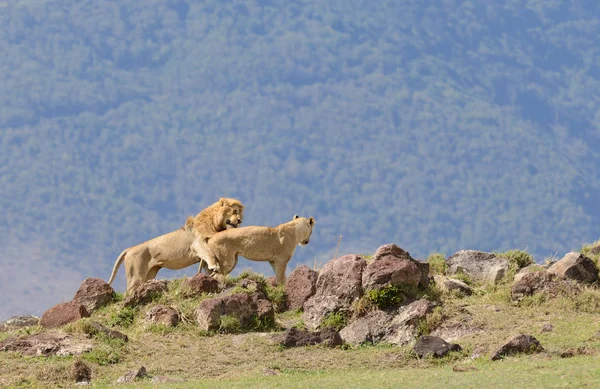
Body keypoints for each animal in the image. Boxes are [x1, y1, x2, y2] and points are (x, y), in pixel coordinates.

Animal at [109, 197, 245, 294]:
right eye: (234, 211)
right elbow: (209, 254)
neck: (215, 223)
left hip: (149, 274)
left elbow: (208, 266)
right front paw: (215, 267)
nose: (239, 220)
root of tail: (129, 249)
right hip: (136, 276)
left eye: (240, 213)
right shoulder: (197, 245)